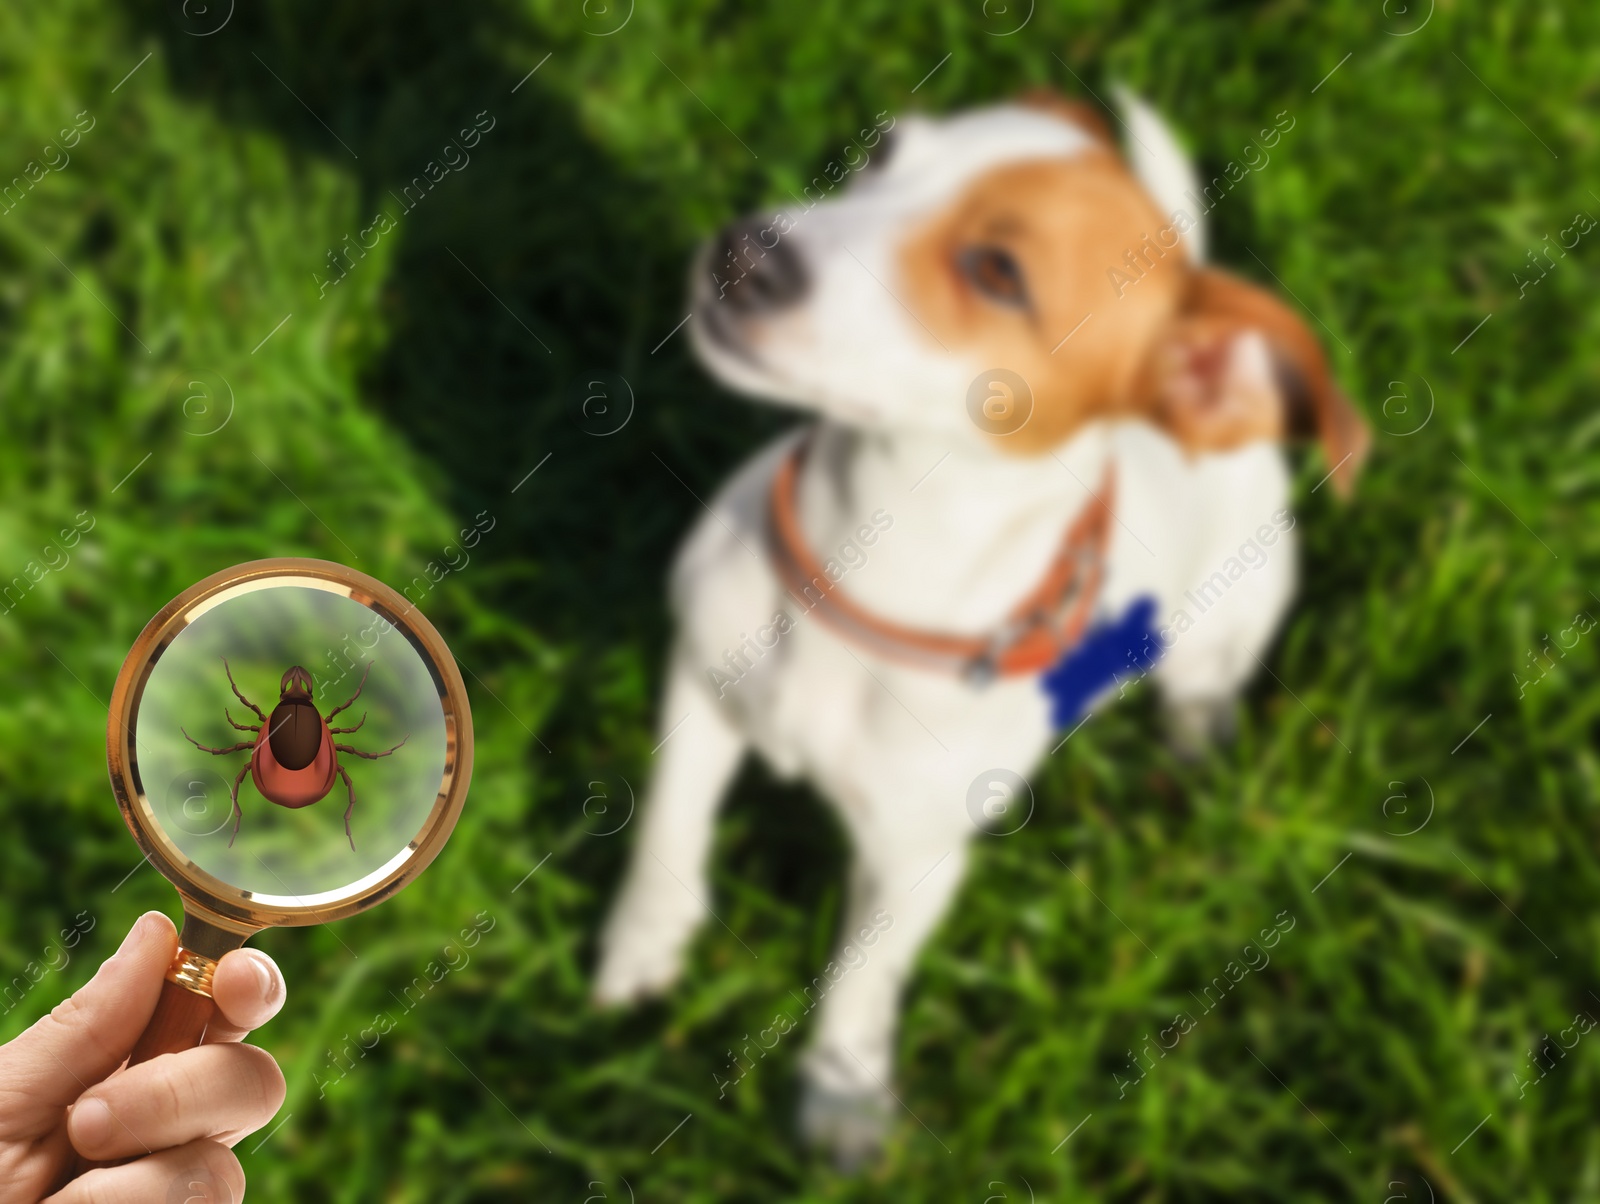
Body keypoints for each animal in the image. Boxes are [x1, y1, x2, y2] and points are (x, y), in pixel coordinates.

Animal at [595, 91, 1369, 1165]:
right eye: (882, 153)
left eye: (998, 271)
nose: (745, 250)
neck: (860, 572)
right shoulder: (699, 687)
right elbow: (670, 829)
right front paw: (641, 947)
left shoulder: (915, 861)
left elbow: (861, 979)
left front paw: (841, 1097)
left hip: (1219, 632)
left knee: (1200, 689)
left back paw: (1195, 748)